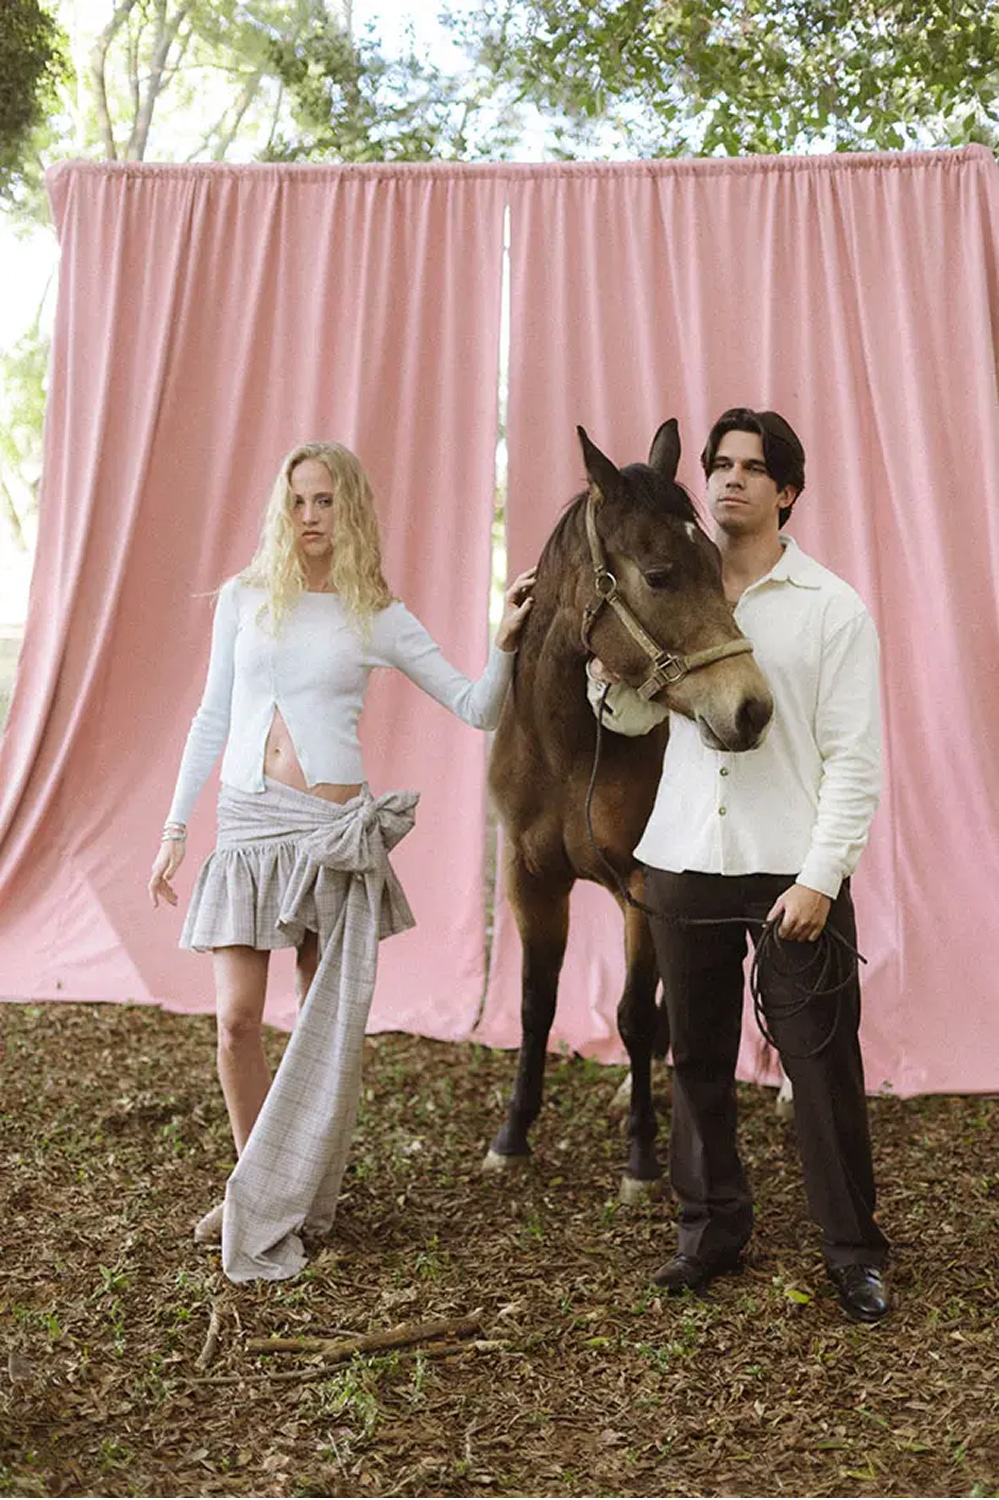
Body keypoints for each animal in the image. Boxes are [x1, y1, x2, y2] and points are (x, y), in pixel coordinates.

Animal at [484, 420, 774, 1202]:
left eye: (716, 563)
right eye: (660, 574)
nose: (751, 709)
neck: (569, 752)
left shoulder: (645, 888)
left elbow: (635, 1017)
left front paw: (641, 1157)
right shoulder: (529, 880)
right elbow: (536, 1003)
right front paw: (512, 1134)